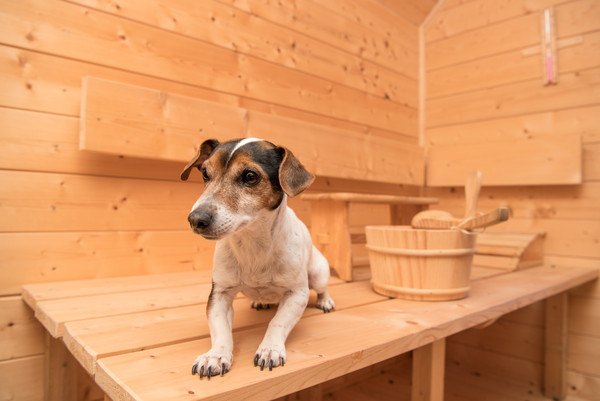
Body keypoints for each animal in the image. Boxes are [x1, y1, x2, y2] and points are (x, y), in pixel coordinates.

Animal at [180, 138, 336, 378]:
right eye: (205, 173)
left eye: (250, 176)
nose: (196, 219)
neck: (253, 244)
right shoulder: (219, 294)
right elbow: (220, 329)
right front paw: (215, 356)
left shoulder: (297, 294)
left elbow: (277, 323)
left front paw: (270, 349)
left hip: (318, 272)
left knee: (322, 288)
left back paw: (325, 301)